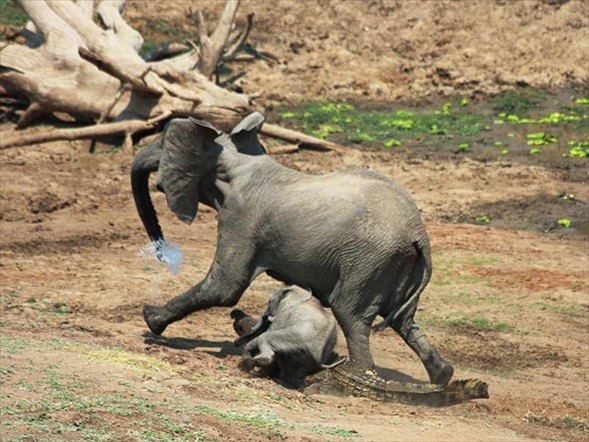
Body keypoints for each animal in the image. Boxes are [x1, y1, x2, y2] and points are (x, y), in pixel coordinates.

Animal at [131, 112, 452, 386]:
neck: (234, 159)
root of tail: (418, 233)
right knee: (404, 322)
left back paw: (358, 376)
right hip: (397, 265)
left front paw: (151, 320)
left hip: (368, 261)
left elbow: (224, 287)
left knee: (351, 315)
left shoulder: (241, 217)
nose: (162, 253)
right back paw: (442, 377)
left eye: (162, 143)